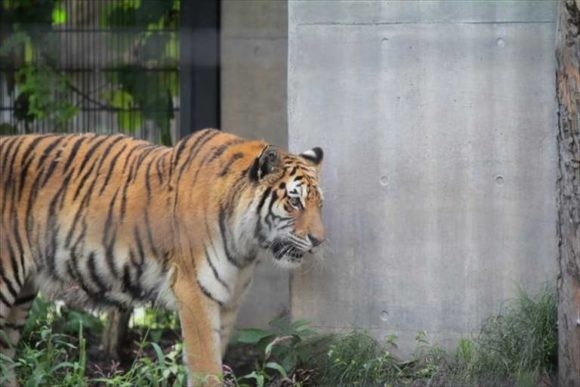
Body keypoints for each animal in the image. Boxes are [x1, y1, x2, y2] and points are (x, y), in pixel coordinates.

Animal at [0, 130, 326, 384]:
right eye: (295, 202)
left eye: (319, 204)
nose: (319, 241)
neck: (246, 245)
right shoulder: (195, 293)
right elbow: (206, 368)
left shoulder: (228, 301)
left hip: (22, 295)